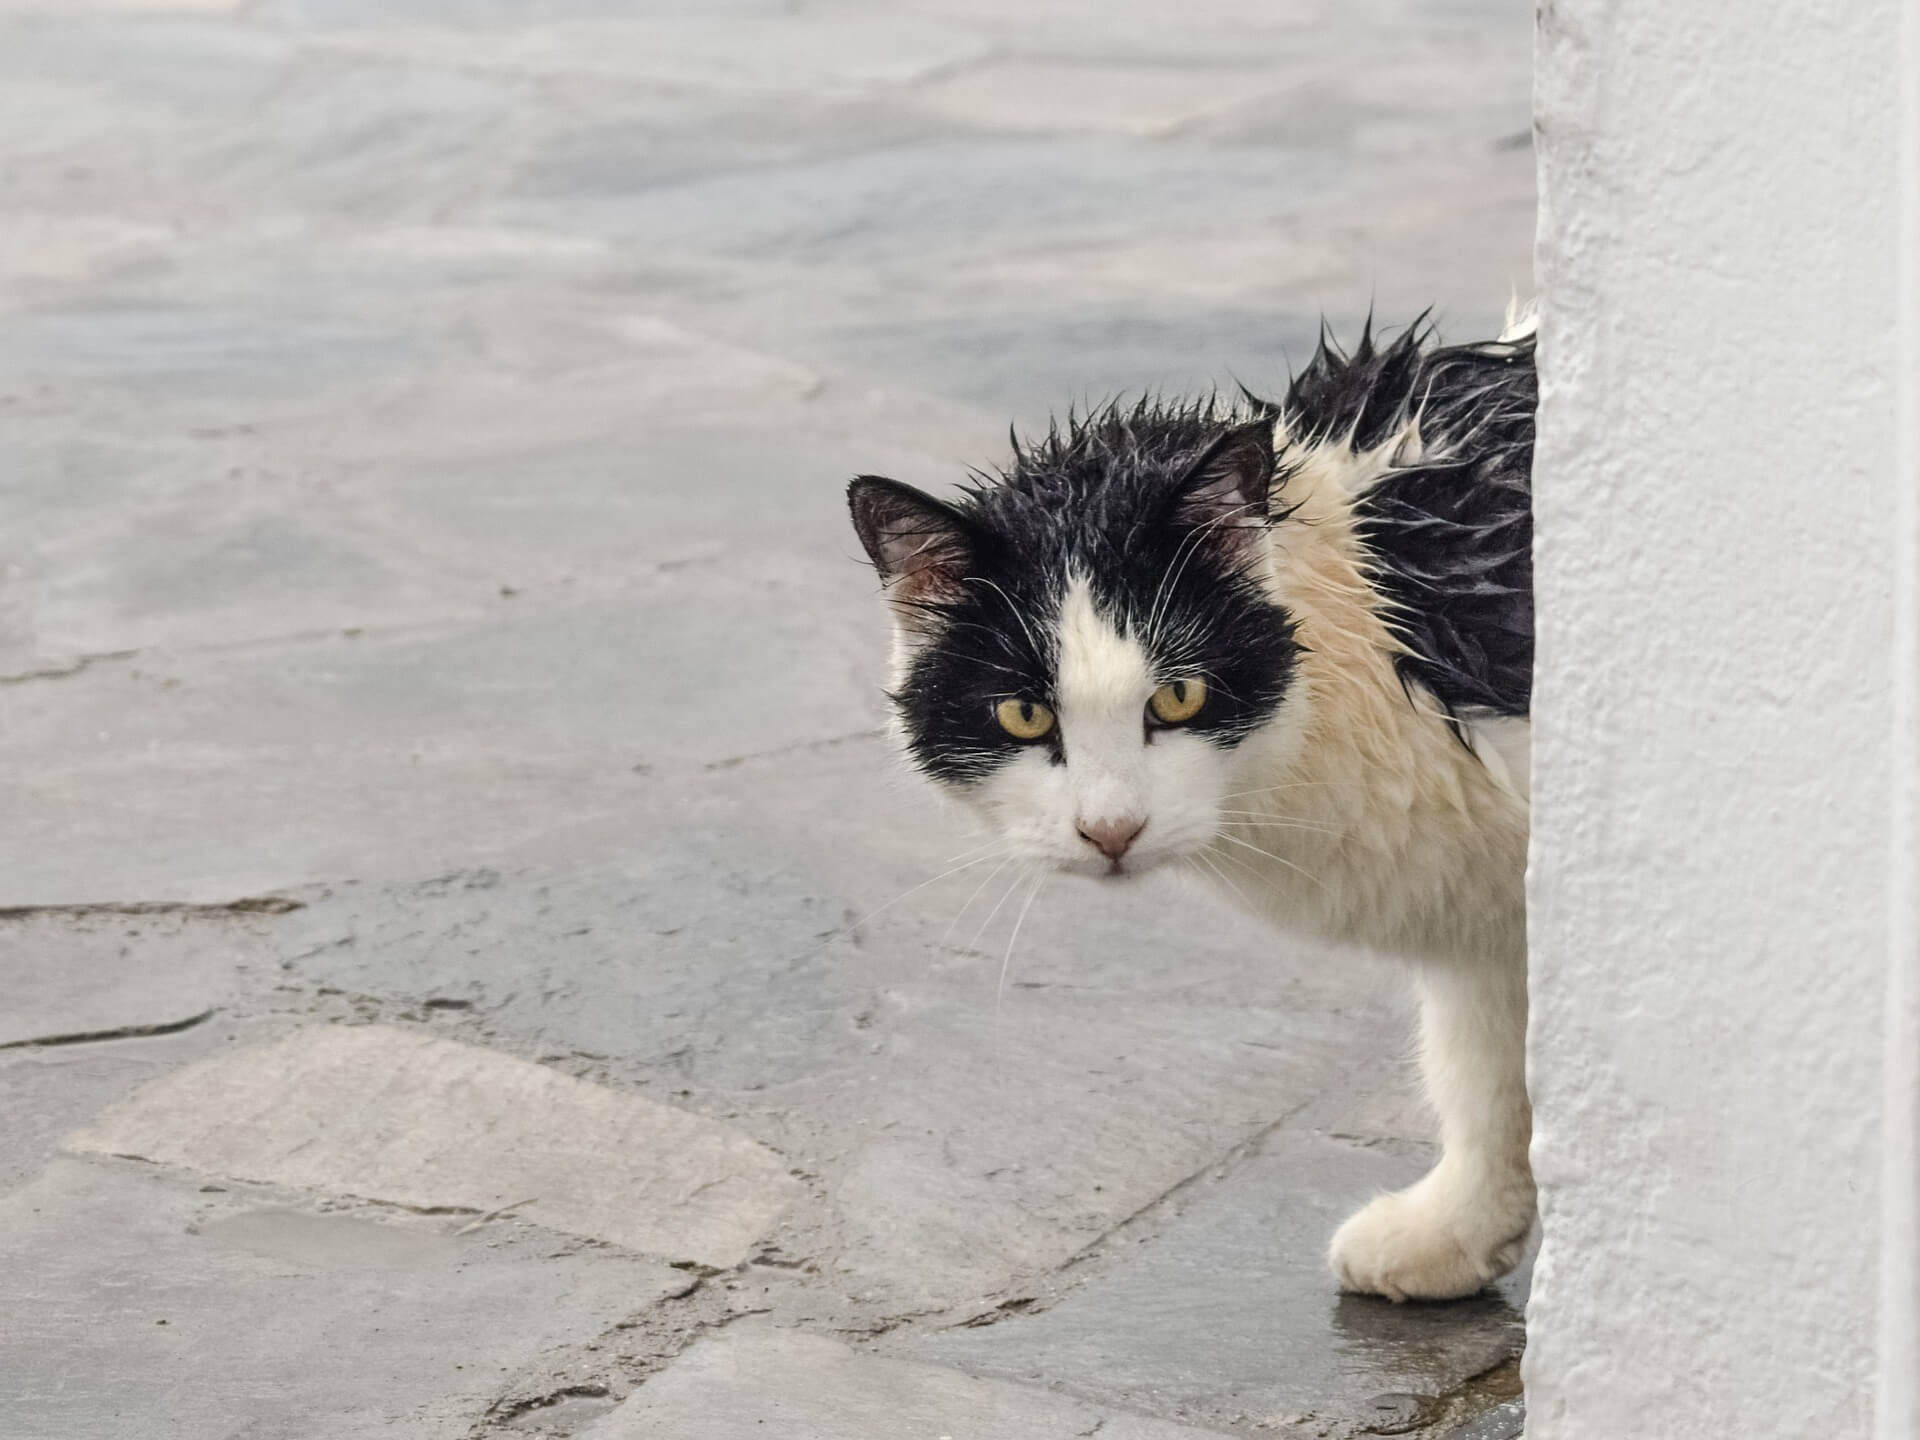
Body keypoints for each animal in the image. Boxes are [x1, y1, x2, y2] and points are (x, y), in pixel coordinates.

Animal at [848, 311, 1536, 1305]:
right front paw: (1458, 1230)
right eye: (1024, 715)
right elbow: (1485, 1079)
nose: (1111, 831)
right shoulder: (1484, 917)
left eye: (1178, 698)